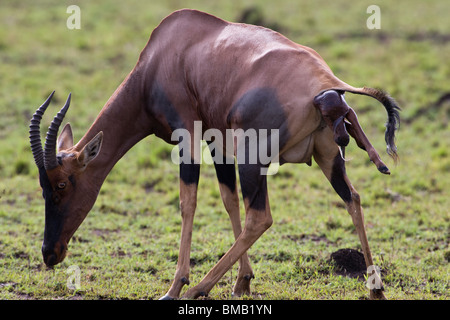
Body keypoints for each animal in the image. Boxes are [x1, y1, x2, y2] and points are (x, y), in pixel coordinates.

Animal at [29, 10, 400, 300]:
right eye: (42, 187)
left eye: (61, 185)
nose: (50, 253)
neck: (164, 54)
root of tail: (327, 84)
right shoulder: (216, 140)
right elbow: (228, 198)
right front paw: (243, 282)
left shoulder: (188, 136)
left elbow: (188, 203)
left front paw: (175, 286)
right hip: (327, 157)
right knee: (352, 198)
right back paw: (375, 288)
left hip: (253, 157)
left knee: (260, 217)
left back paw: (197, 289)